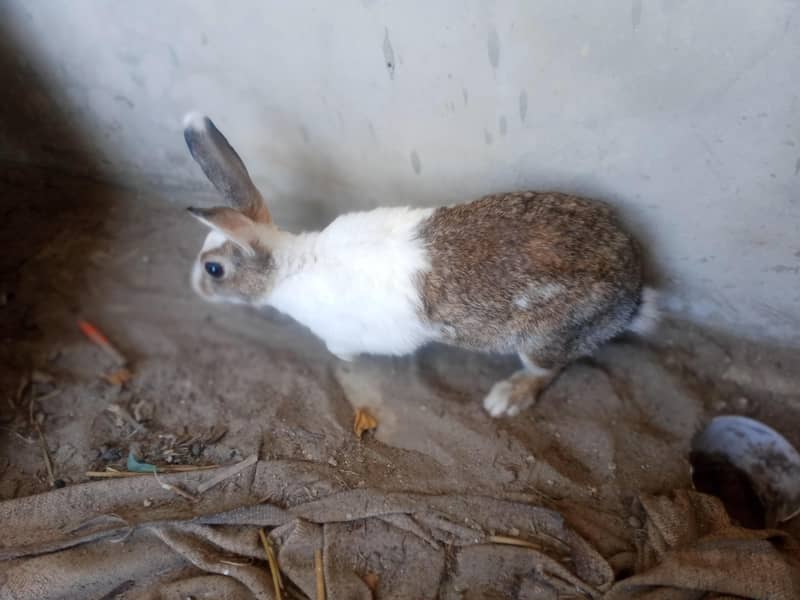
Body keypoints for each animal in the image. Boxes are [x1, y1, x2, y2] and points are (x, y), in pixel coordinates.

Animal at [183, 113, 658, 417]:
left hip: (543, 337)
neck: (290, 265)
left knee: (550, 369)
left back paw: (505, 398)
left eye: (214, 270)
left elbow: (343, 350)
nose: (194, 288)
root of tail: (632, 287)